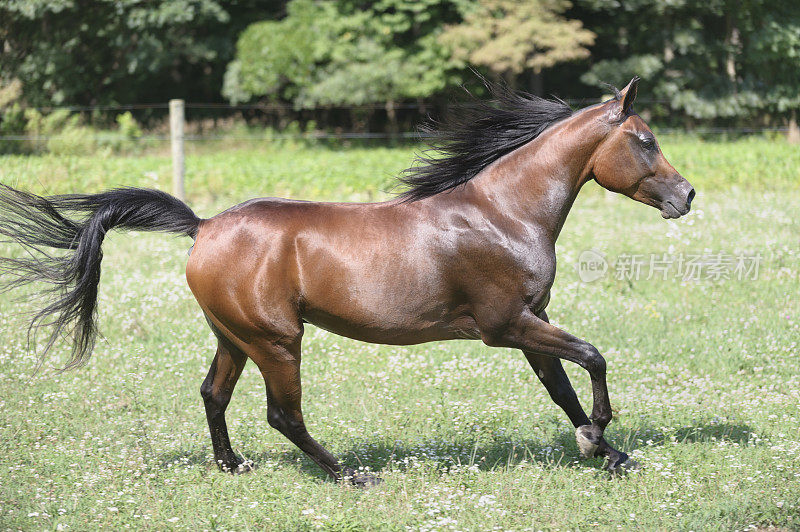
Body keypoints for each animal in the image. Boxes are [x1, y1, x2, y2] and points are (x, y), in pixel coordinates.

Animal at [0, 78, 692, 482]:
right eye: (645, 140)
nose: (686, 195)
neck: (503, 214)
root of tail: (202, 227)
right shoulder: (506, 325)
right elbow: (593, 357)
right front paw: (599, 435)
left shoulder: (531, 320)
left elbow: (561, 386)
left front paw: (607, 451)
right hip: (278, 341)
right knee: (283, 414)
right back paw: (350, 475)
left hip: (235, 337)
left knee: (213, 394)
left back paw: (232, 467)